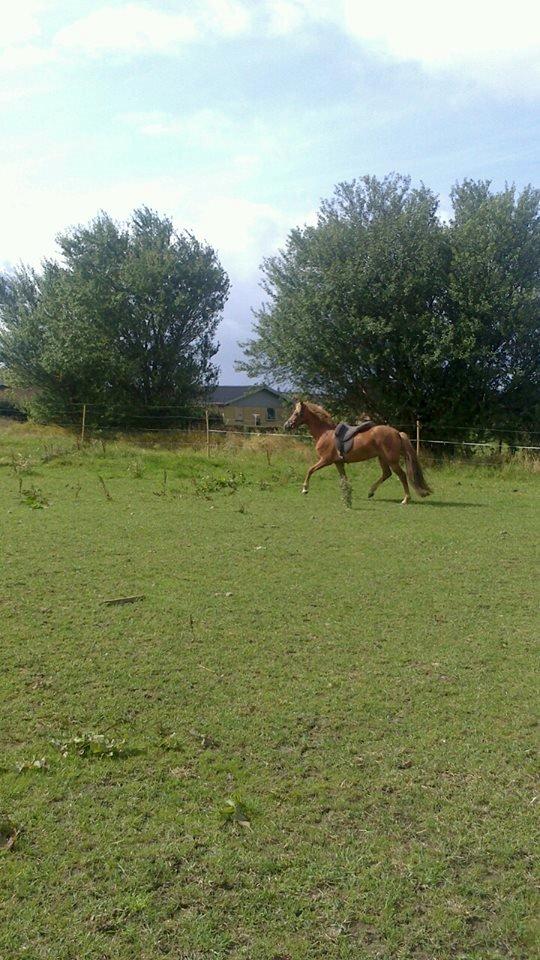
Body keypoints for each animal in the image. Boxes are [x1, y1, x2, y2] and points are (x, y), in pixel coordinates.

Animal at [282, 400, 430, 506]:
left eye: (296, 413)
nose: (286, 425)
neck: (324, 433)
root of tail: (397, 433)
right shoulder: (338, 463)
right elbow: (344, 478)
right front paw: (347, 494)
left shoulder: (325, 460)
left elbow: (310, 470)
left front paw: (305, 489)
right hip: (382, 458)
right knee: (386, 474)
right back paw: (370, 492)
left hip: (391, 460)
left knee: (402, 475)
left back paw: (405, 499)